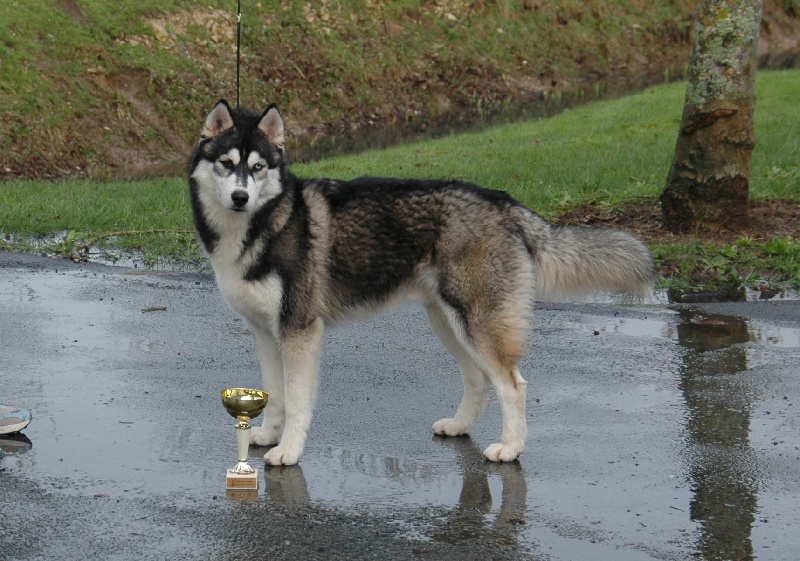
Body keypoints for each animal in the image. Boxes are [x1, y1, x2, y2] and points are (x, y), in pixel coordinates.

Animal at [188, 100, 657, 465]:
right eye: (227, 165)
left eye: (258, 167)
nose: (240, 197)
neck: (263, 224)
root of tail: (502, 201)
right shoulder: (266, 333)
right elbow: (275, 393)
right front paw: (267, 434)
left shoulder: (299, 331)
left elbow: (299, 400)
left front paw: (287, 451)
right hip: (447, 323)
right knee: (479, 379)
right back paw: (460, 425)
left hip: (477, 323)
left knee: (512, 385)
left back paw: (510, 448)